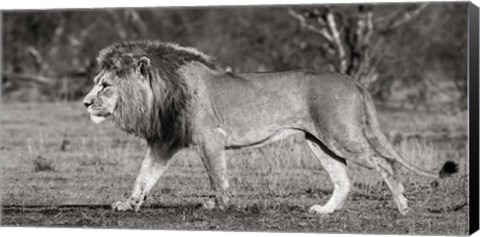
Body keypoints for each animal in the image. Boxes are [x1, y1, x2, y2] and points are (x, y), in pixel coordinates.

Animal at [82, 40, 458, 215]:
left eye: (106, 86)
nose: (85, 103)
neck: (161, 92)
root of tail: (353, 80)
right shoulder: (165, 141)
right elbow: (143, 176)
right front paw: (128, 204)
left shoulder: (210, 139)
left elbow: (217, 177)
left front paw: (220, 206)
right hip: (320, 141)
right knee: (344, 178)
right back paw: (325, 212)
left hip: (342, 135)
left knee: (385, 162)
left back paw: (403, 206)